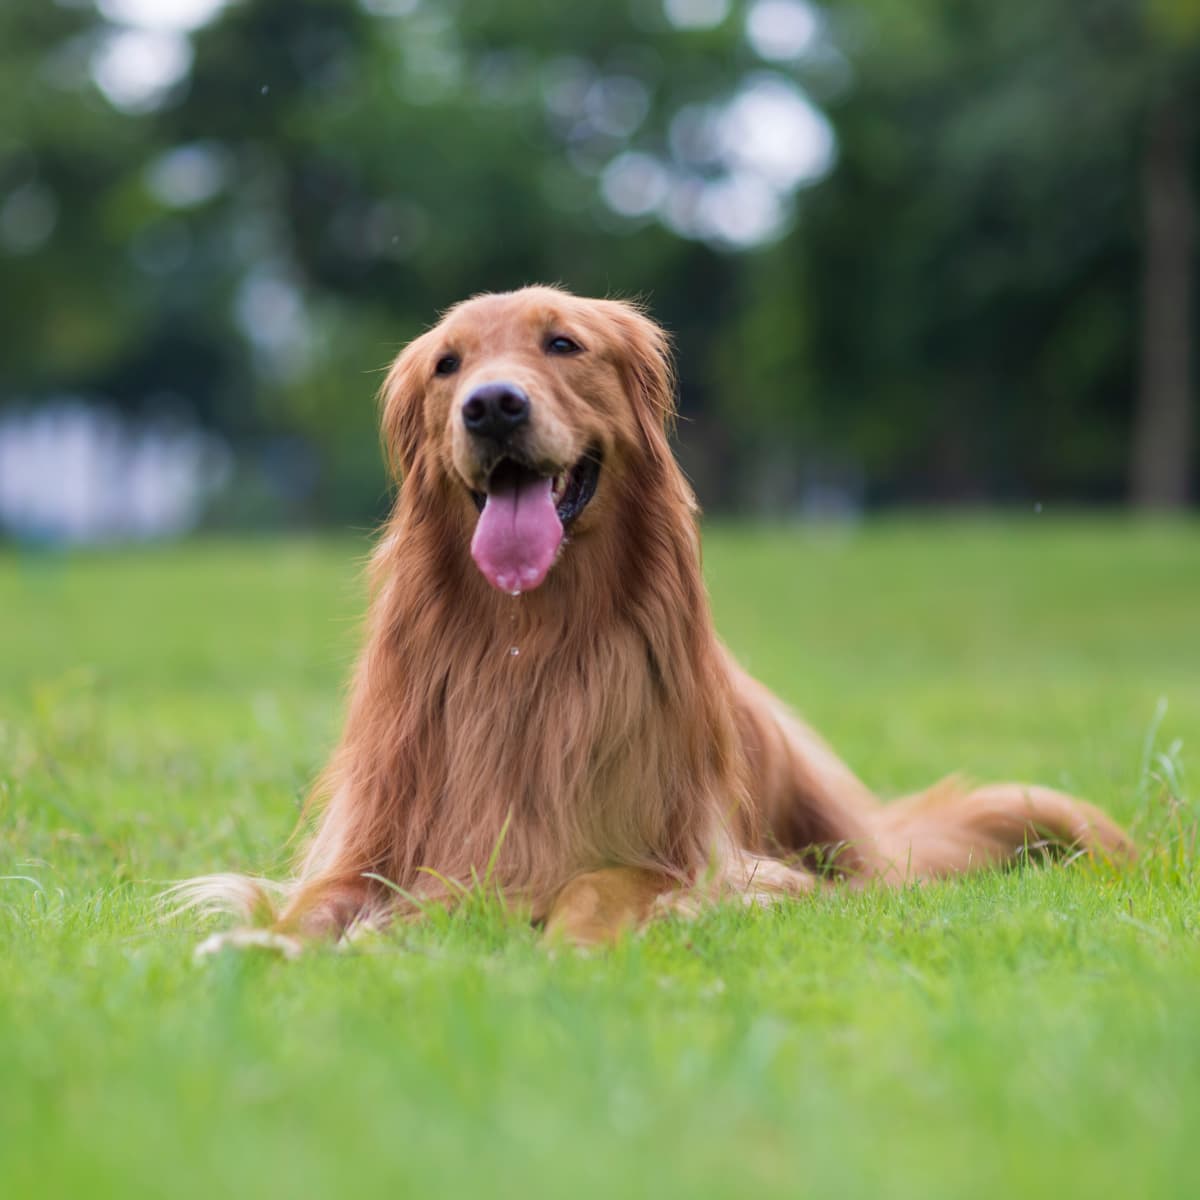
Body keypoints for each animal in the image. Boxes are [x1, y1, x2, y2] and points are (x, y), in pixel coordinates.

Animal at [180, 285, 1132, 950]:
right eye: (447, 366)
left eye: (563, 343)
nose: (492, 404)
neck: (525, 644)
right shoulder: (375, 840)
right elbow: (314, 903)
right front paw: (263, 945)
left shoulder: (688, 856)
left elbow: (599, 885)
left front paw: (570, 943)